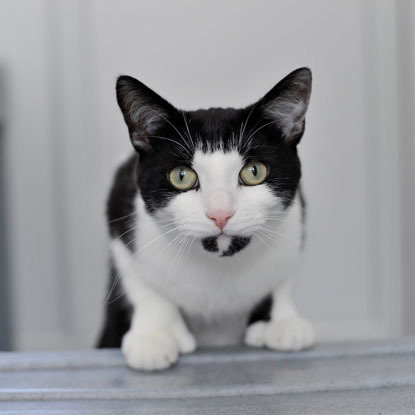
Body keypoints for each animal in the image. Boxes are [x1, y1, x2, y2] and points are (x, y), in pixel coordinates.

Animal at [97, 67, 316, 370]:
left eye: (254, 171)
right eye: (181, 176)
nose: (220, 213)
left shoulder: (297, 218)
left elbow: (282, 279)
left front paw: (281, 322)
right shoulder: (119, 208)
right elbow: (142, 284)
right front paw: (154, 336)